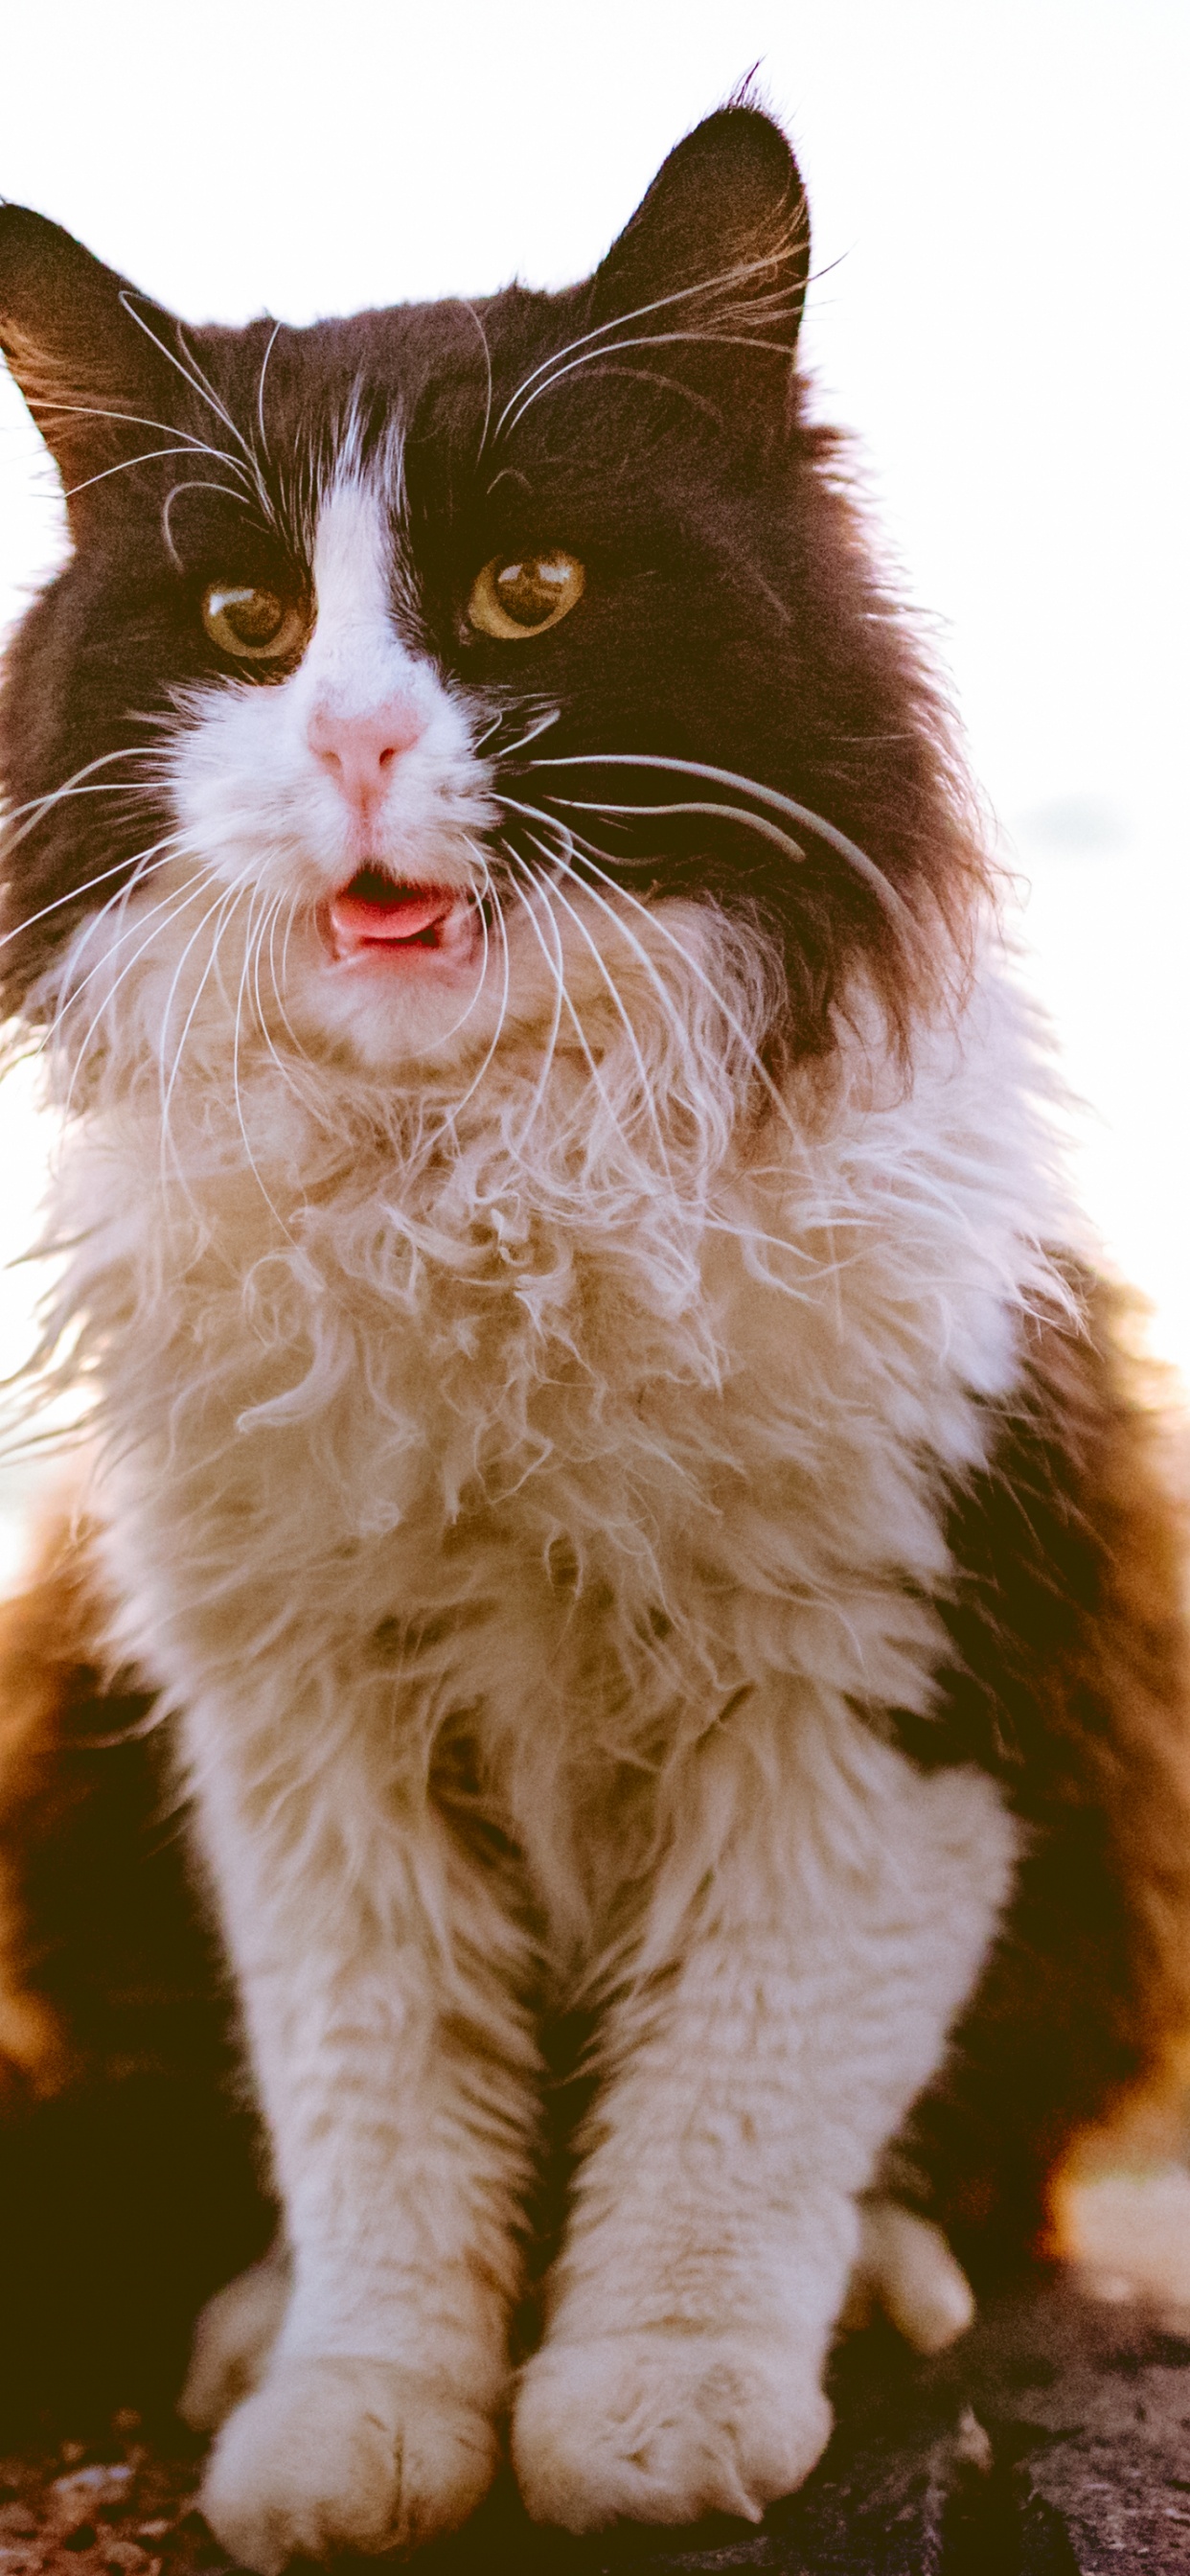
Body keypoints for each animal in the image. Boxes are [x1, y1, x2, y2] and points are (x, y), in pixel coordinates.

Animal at [2, 95, 1190, 2555]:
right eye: (250, 625)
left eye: (525, 593)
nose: (359, 742)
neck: (482, 1182)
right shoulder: (297, 1724)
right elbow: (374, 2104)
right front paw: (359, 2416)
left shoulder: (878, 1679)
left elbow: (734, 2096)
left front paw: (653, 2408)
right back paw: (253, 2328)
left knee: (974, 2167)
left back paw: (889, 2286)